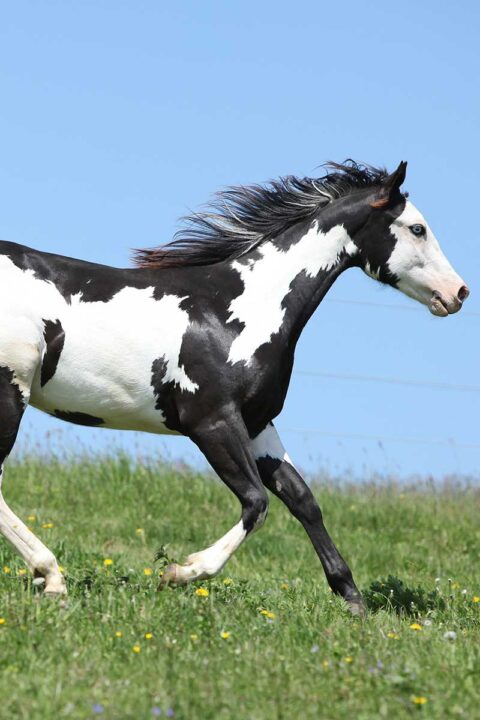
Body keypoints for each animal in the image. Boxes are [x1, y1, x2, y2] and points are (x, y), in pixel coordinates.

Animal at [0, 160, 469, 615]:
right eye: (417, 228)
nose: (459, 292)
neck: (238, 311)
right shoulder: (212, 422)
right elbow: (257, 502)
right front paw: (179, 572)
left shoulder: (259, 424)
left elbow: (303, 499)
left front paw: (352, 599)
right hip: (11, 391)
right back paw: (51, 577)